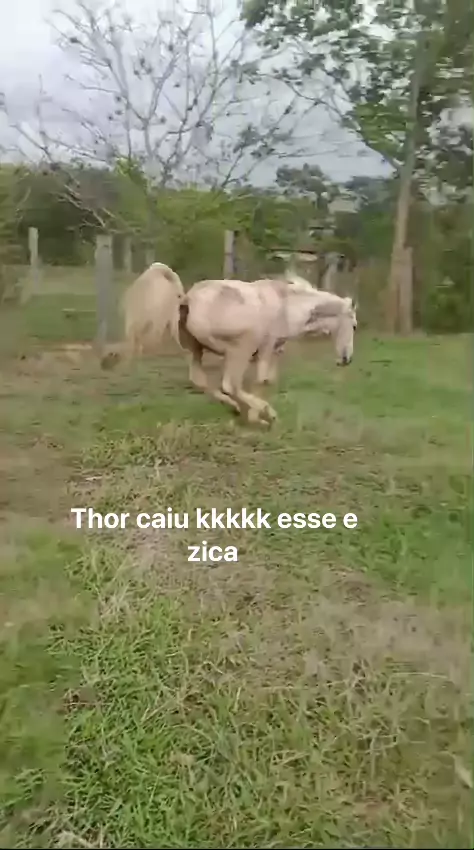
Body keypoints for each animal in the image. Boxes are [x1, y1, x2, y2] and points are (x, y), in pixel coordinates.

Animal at [102, 262, 357, 426]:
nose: (347, 359)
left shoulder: (275, 351)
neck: (287, 306)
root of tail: (186, 299)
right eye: (354, 326)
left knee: (202, 381)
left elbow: (266, 382)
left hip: (195, 350)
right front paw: (261, 415)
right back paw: (263, 412)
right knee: (229, 384)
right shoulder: (265, 349)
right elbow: (261, 381)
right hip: (240, 348)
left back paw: (234, 408)